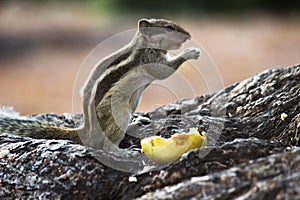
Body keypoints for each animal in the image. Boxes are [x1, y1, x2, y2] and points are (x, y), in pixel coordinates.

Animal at [0, 18, 202, 154]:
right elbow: (164, 72)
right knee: (108, 146)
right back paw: (124, 152)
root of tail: (87, 132)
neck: (143, 44)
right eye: (169, 27)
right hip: (119, 111)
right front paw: (190, 52)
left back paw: (136, 122)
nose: (190, 35)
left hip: (134, 101)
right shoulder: (149, 59)